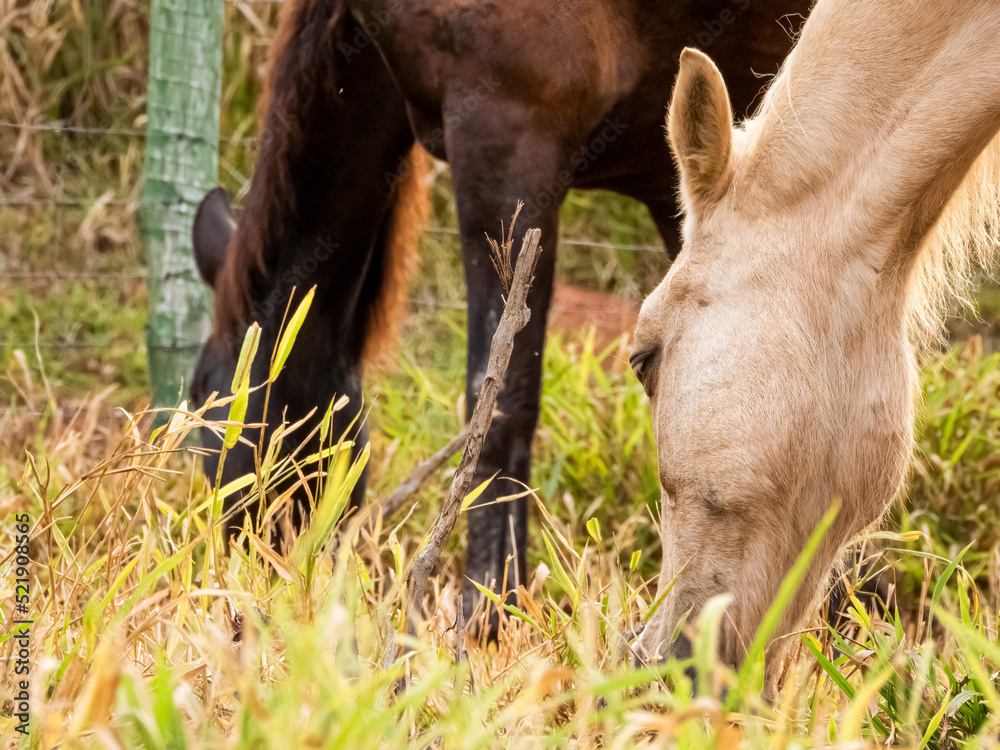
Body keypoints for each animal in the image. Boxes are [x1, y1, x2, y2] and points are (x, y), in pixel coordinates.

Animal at [189, 0, 810, 626]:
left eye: (203, 405)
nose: (237, 587)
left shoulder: (506, 136)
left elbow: (498, 408)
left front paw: (487, 614)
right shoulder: (680, 178)